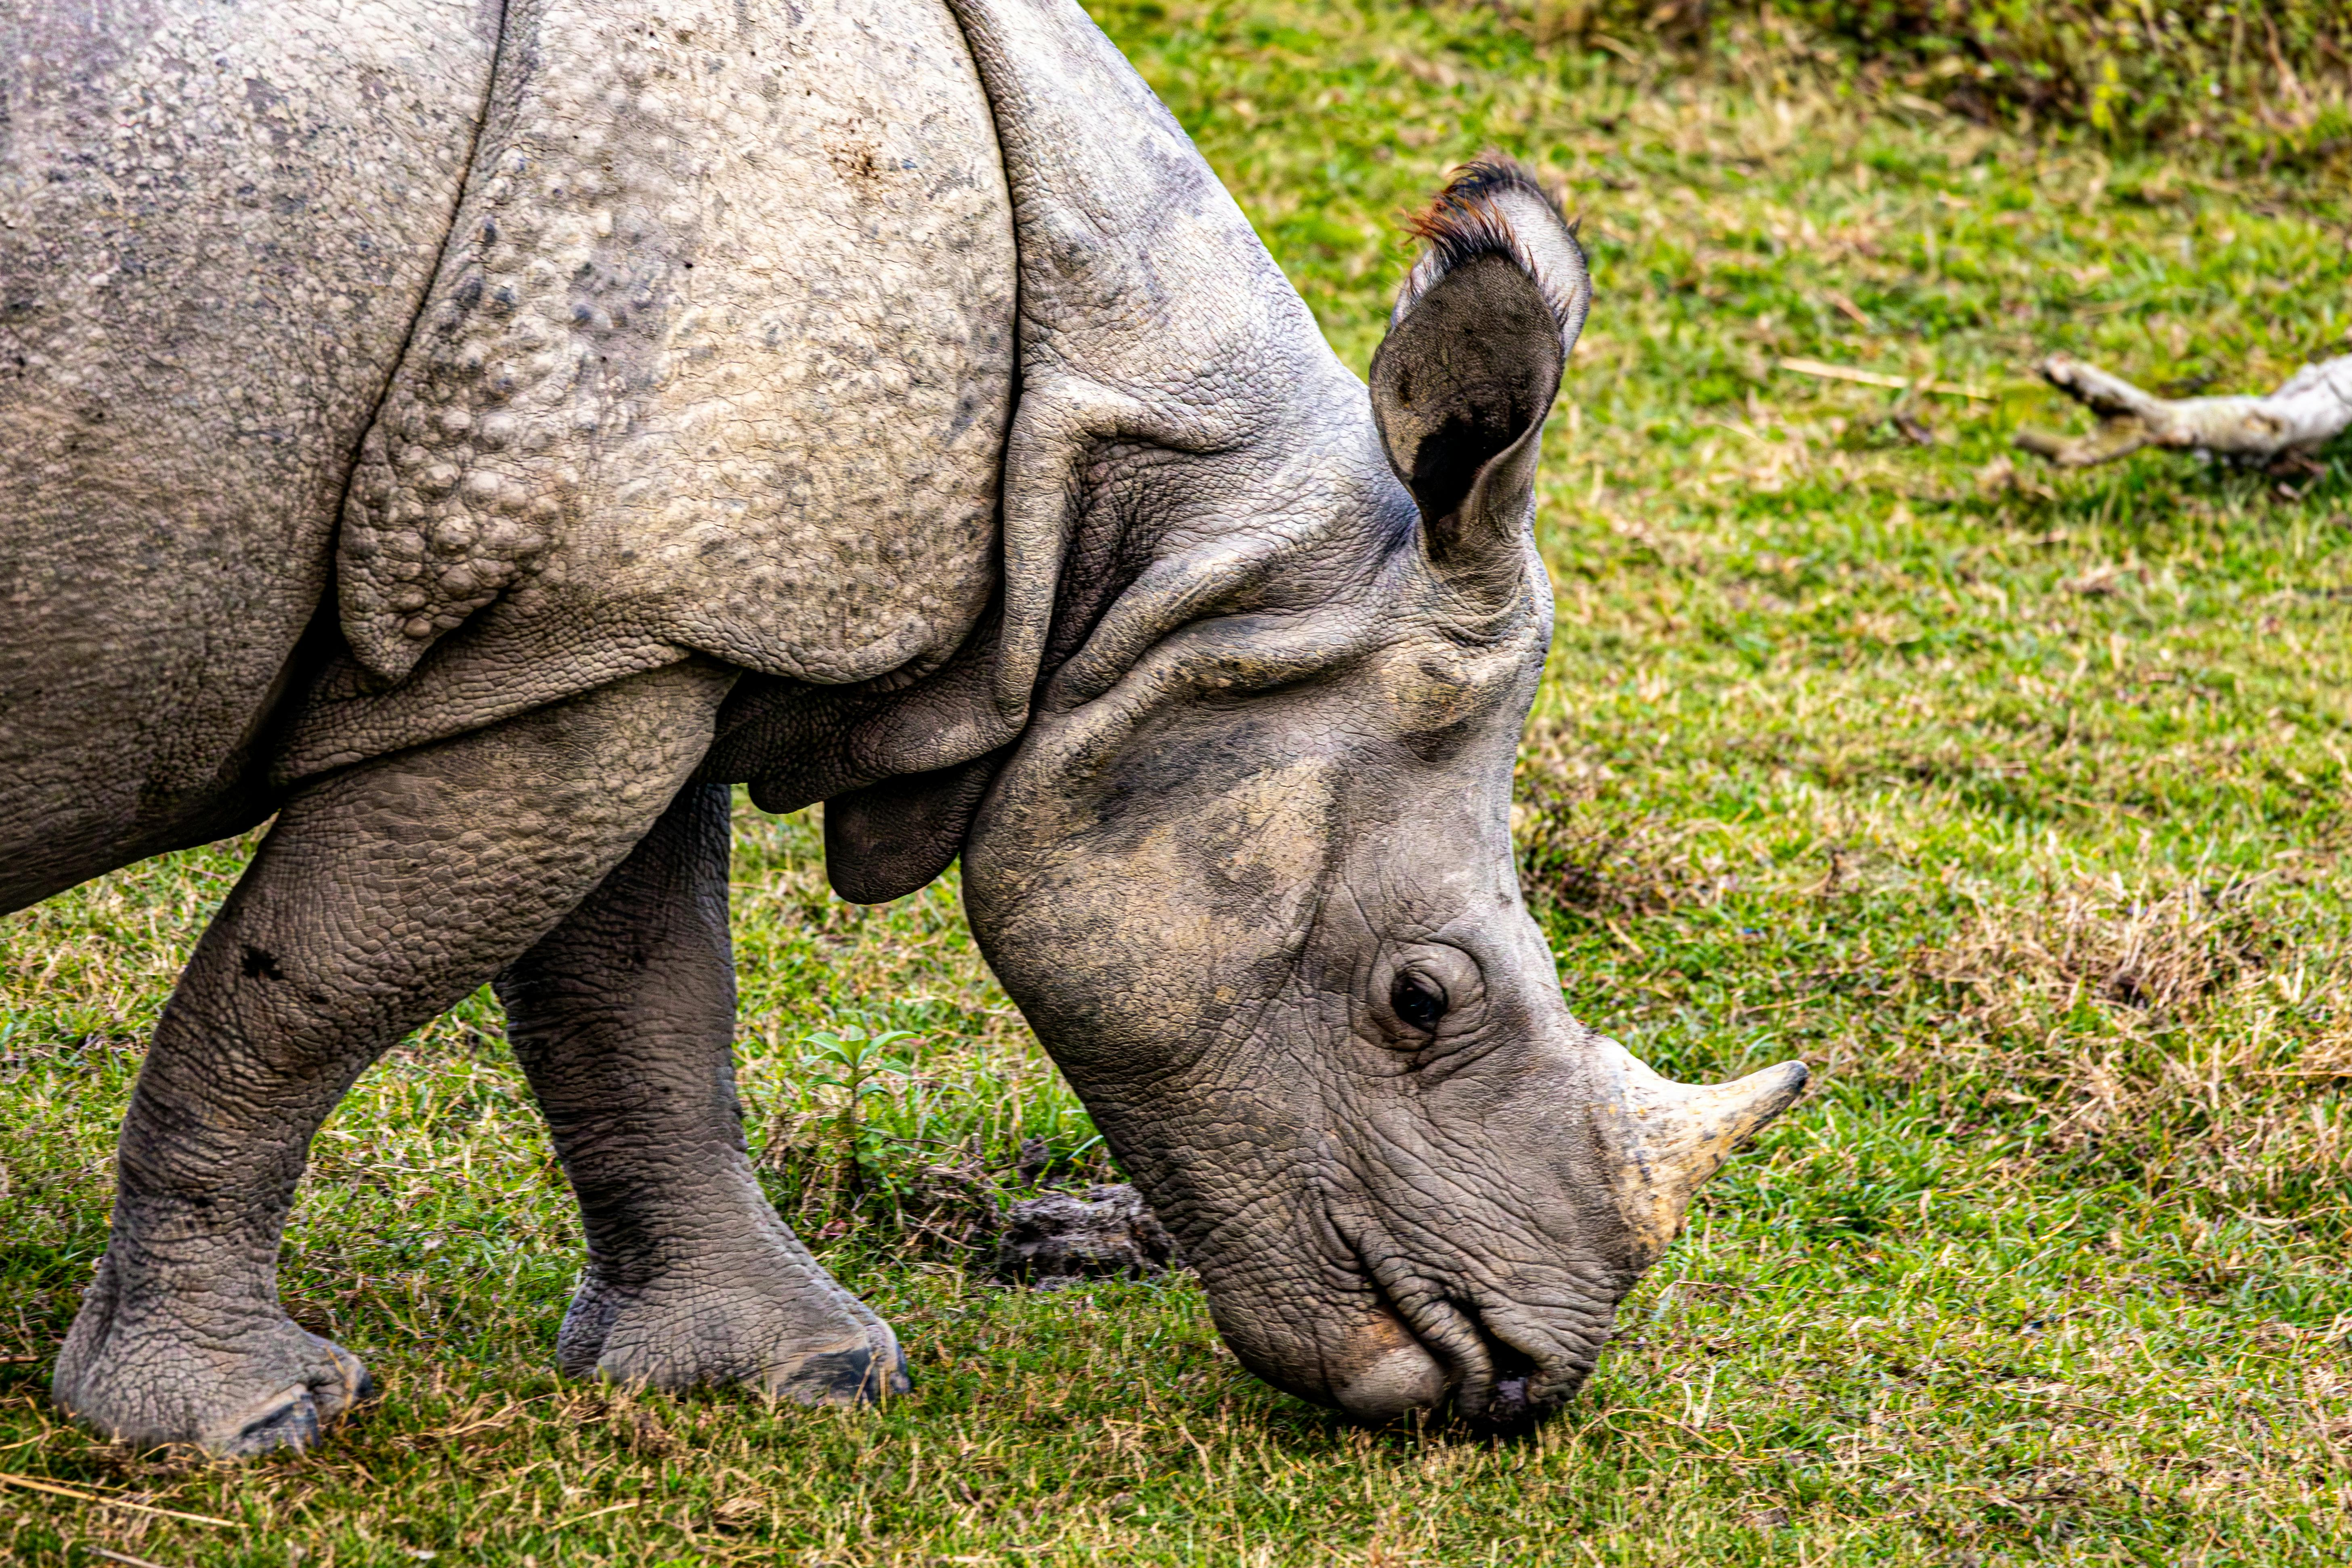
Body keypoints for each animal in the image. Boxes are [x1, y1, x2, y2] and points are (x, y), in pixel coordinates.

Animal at [2, 0, 1806, 1454]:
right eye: (1420, 999)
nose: (1521, 1383)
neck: (1158, 545)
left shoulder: (630, 625)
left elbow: (642, 999)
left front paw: (789, 1377)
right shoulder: (595, 629)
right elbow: (299, 1002)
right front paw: (238, 1424)